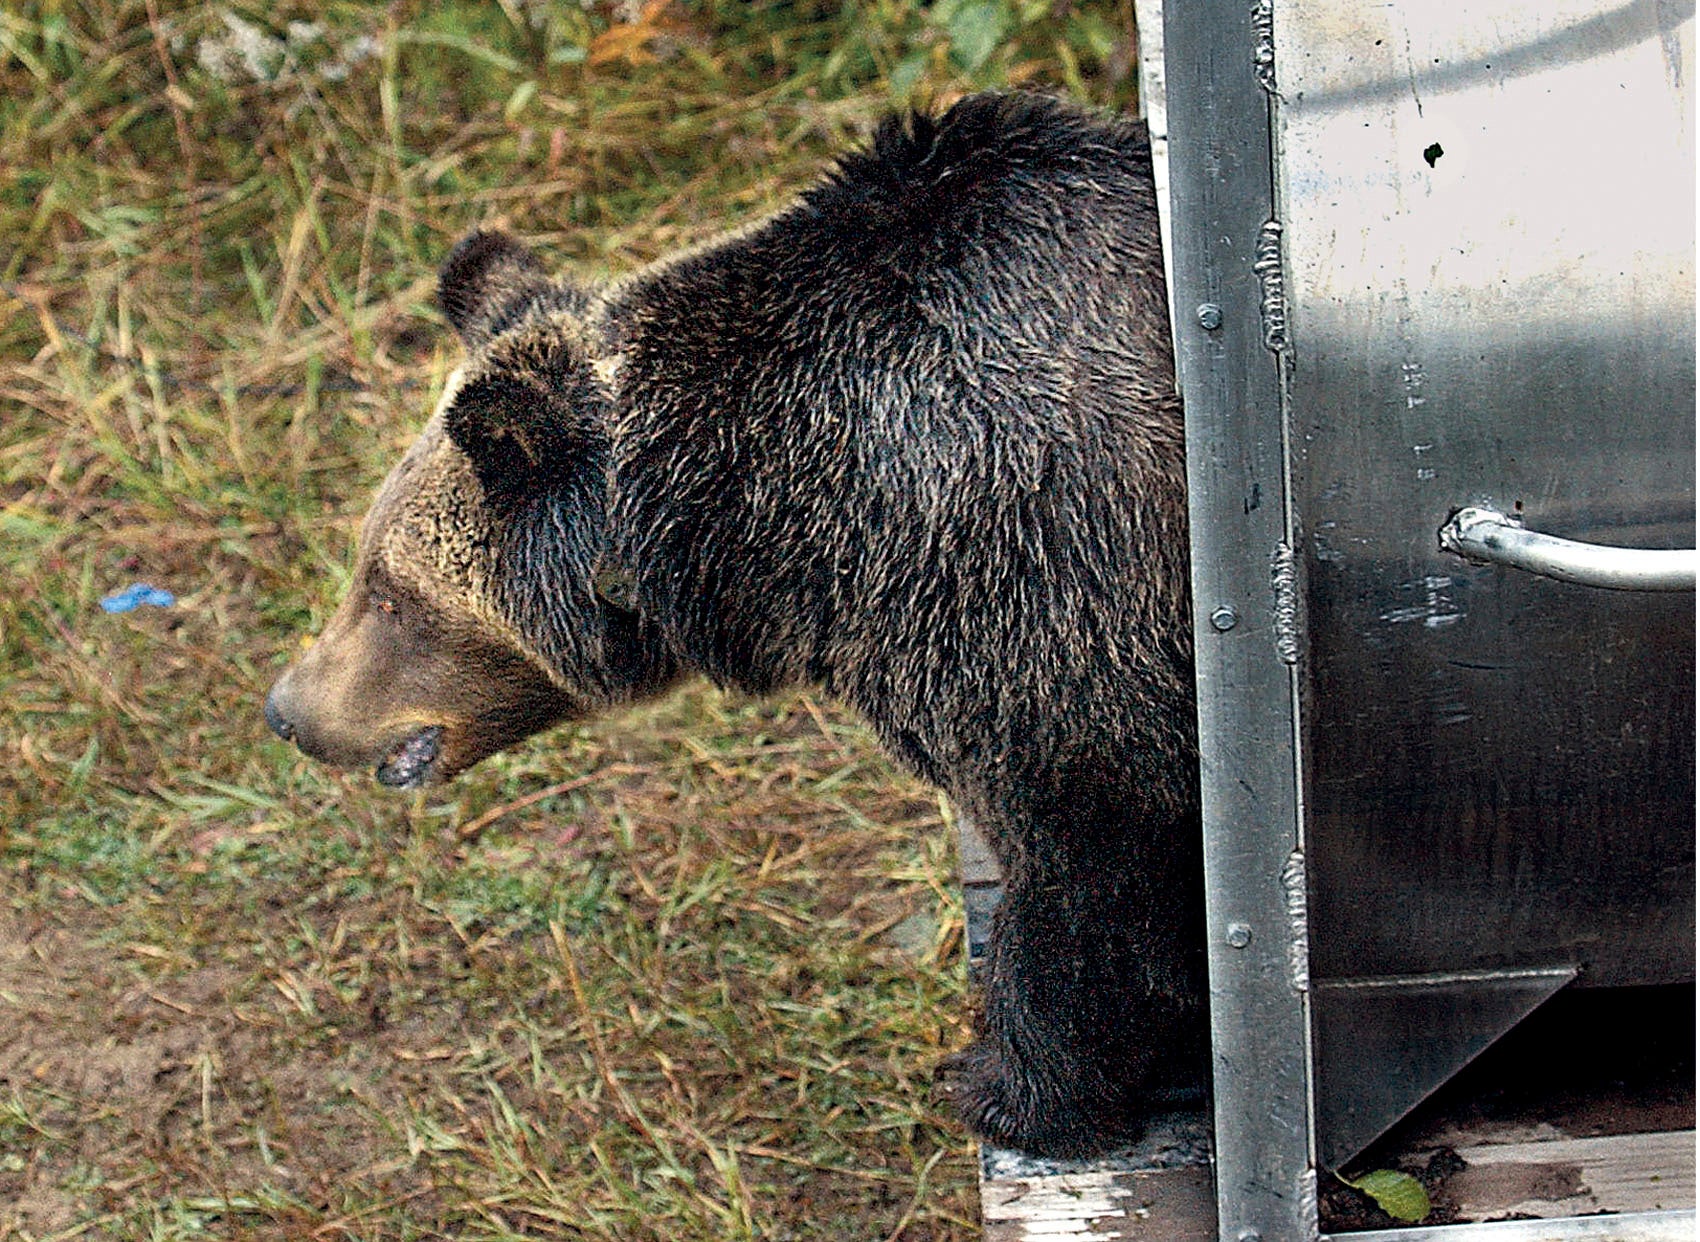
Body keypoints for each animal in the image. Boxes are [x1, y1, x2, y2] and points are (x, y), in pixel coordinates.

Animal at [265, 92, 1203, 1162]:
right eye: (366, 562)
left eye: (390, 592)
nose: (287, 709)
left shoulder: (1036, 587)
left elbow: (1088, 871)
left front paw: (1015, 1087)